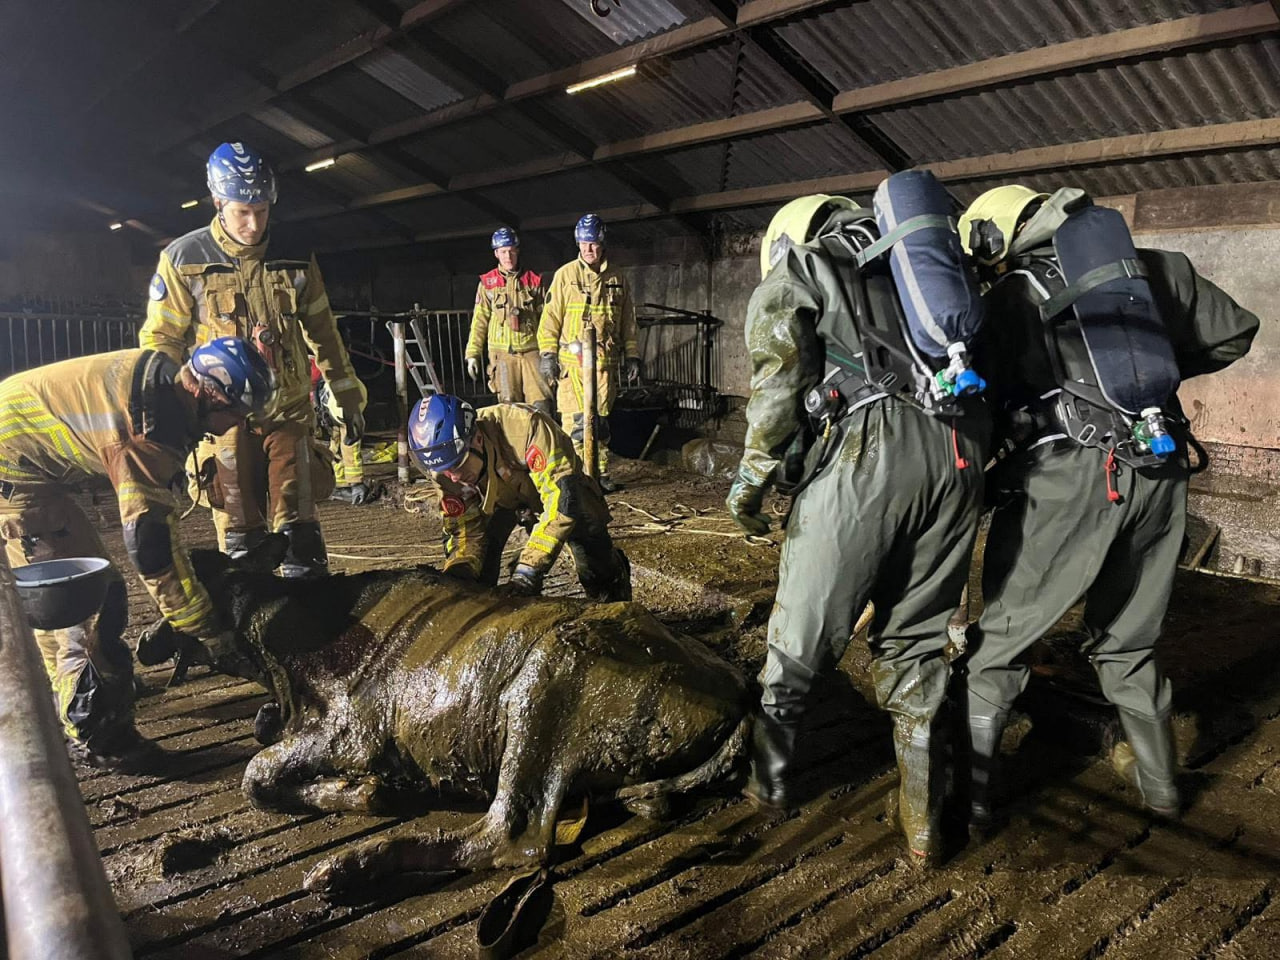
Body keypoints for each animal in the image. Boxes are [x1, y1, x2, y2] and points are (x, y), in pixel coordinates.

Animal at [139, 535, 750, 894]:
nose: (146, 643)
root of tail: (734, 696)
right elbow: (262, 733)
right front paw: (364, 789)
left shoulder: (350, 730)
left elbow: (255, 776)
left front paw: (368, 793)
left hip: (541, 688)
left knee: (512, 838)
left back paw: (353, 865)